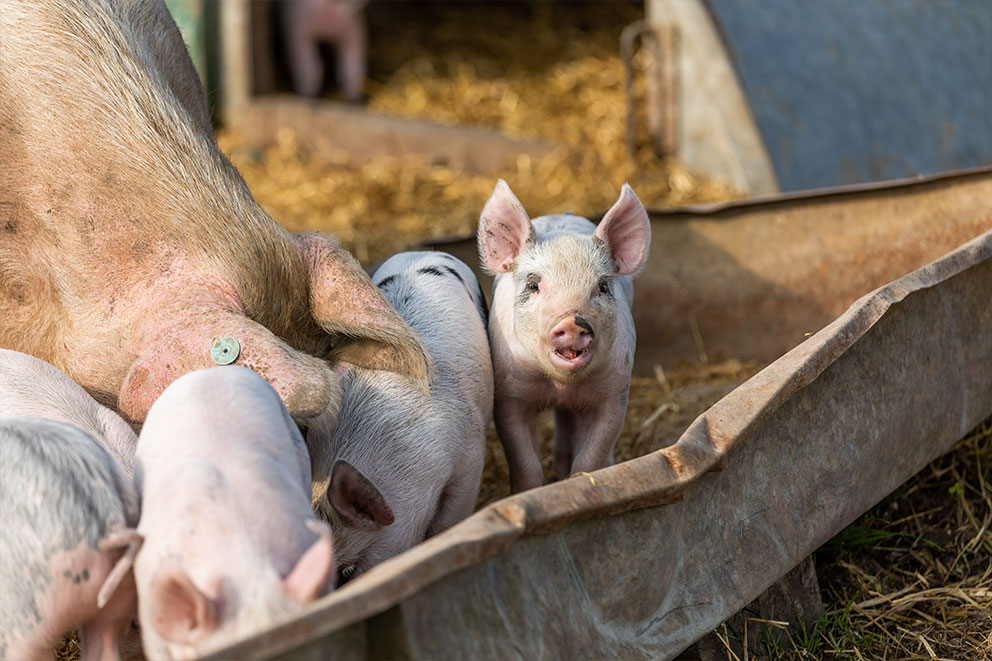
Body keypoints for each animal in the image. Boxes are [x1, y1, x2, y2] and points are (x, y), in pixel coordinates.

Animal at [477, 180, 651, 493]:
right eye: (533, 285)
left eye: (602, 287)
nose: (573, 321)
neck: (560, 385)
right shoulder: (509, 397)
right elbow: (526, 464)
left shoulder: (614, 394)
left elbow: (590, 458)